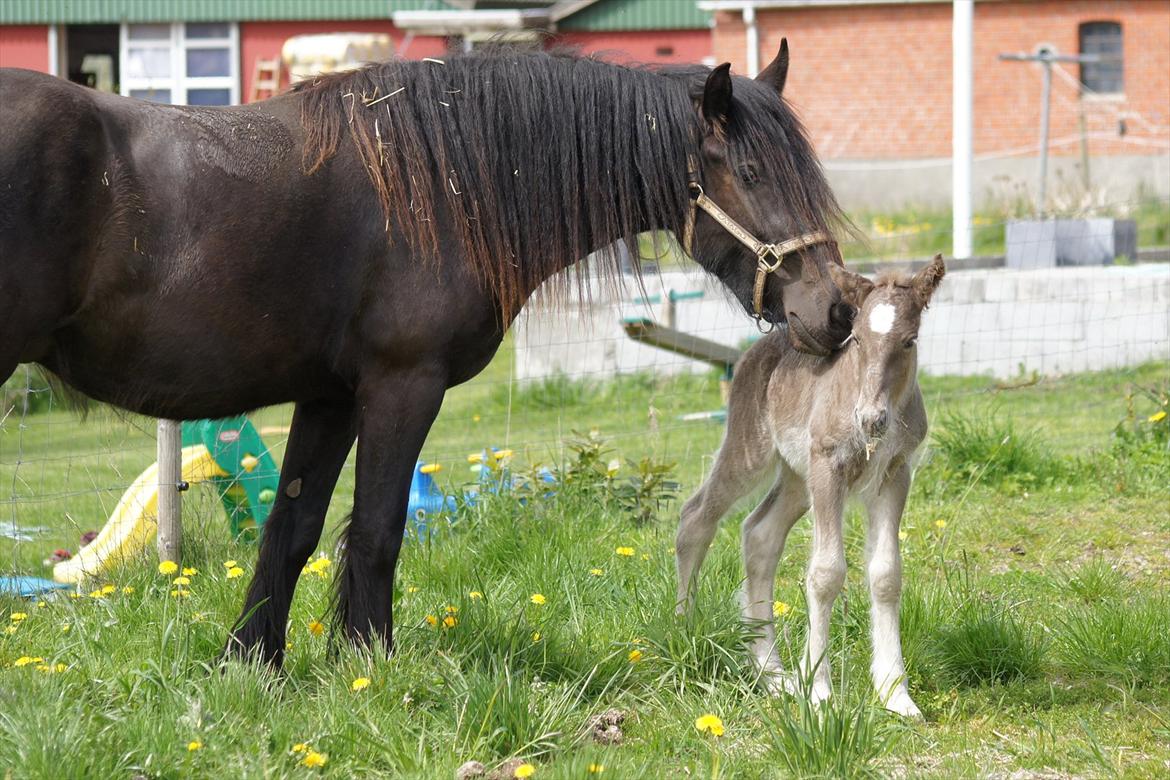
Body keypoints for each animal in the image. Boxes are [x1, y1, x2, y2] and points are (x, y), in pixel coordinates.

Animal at [4, 42, 856, 664]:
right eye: (750, 172)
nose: (838, 310)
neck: (446, 189)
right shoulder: (402, 386)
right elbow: (378, 530)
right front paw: (371, 670)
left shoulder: (330, 396)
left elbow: (293, 530)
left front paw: (252, 667)